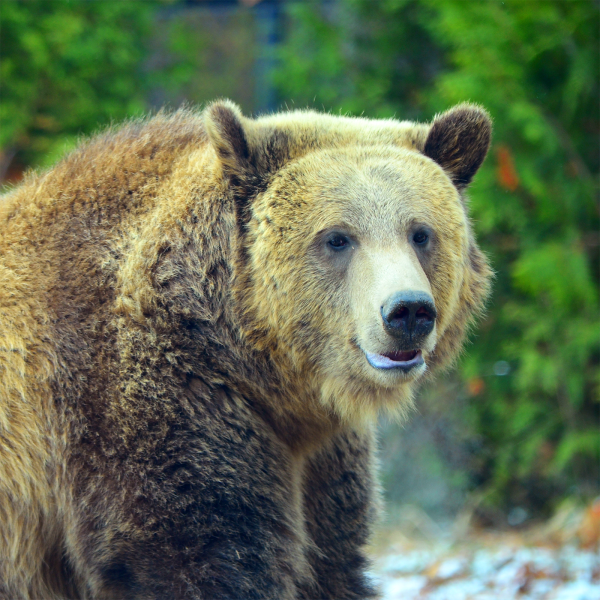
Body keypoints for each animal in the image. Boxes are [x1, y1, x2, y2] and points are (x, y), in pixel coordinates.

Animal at [0, 101, 492, 596]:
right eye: (337, 237)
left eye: (420, 233)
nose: (408, 311)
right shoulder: (143, 407)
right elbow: (201, 549)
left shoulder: (324, 460)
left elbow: (332, 557)